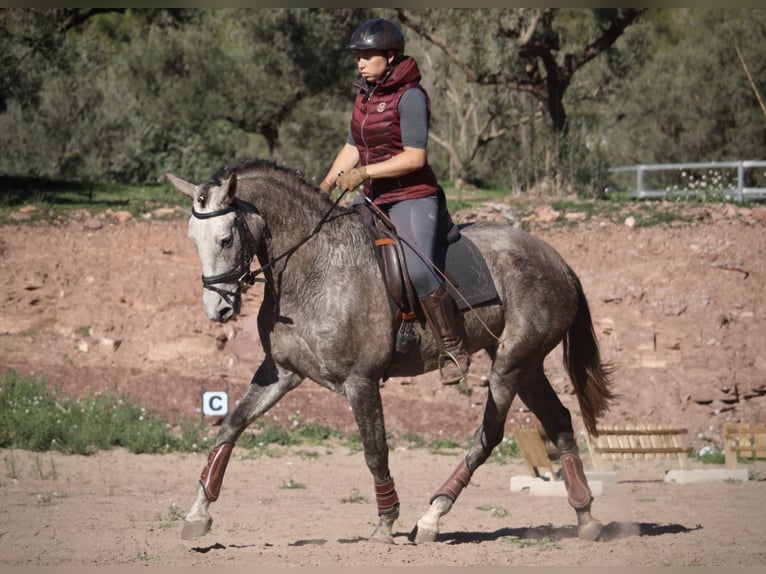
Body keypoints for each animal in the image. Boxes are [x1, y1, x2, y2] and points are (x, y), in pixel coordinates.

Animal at [168, 160, 616, 548]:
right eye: (193, 239)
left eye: (226, 239)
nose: (218, 310)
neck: (311, 267)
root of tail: (556, 259)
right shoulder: (280, 372)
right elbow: (230, 427)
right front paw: (197, 514)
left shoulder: (360, 381)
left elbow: (375, 450)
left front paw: (385, 522)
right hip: (527, 363)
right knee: (558, 421)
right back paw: (586, 516)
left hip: (511, 364)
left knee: (489, 434)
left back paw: (432, 517)